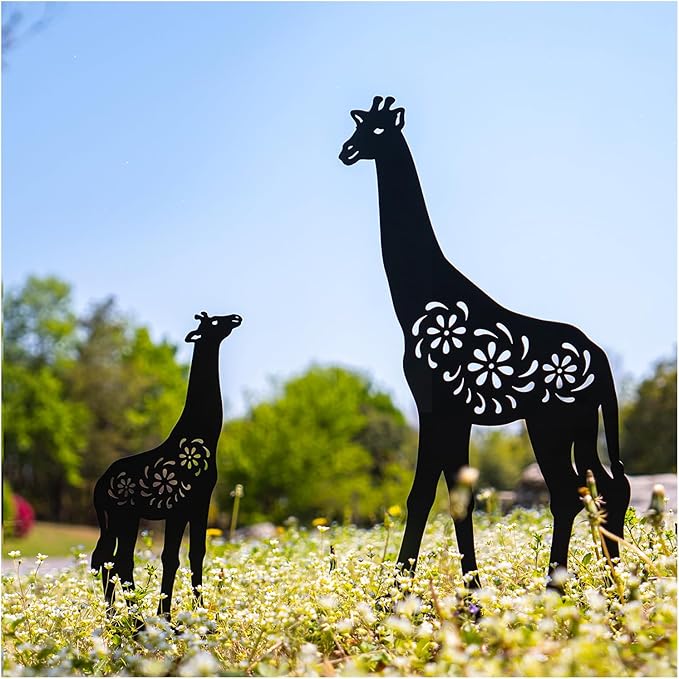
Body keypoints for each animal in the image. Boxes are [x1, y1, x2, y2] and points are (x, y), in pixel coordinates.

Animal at [91, 311, 242, 621]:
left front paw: (202, 613)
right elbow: (170, 557)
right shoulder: (178, 506)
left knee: (105, 557)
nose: (236, 318)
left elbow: (197, 552)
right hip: (124, 514)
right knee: (118, 559)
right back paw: (135, 621)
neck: (203, 438)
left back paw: (116, 617)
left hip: (117, 517)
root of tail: (98, 488)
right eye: (213, 323)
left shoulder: (201, 502)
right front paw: (167, 618)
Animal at [339, 96, 631, 588]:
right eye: (360, 128)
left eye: (377, 131)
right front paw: (465, 592)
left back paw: (566, 588)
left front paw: (399, 595)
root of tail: (602, 359)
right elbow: (452, 498)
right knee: (605, 486)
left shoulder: (436, 406)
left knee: (574, 492)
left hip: (551, 423)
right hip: (578, 423)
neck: (416, 300)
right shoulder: (453, 414)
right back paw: (616, 586)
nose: (346, 150)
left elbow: (426, 496)